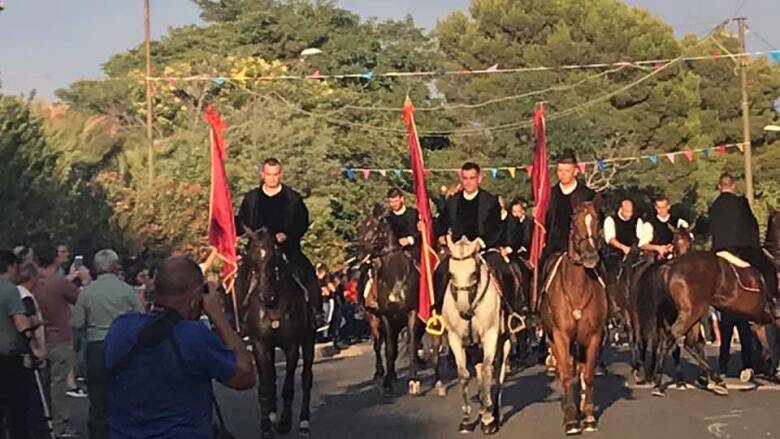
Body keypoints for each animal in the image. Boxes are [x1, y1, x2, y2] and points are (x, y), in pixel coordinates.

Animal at [236, 229, 316, 438]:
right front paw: (266, 423)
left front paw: (284, 423)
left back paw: (304, 422)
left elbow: (288, 386)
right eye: (252, 258)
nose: (265, 297)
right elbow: (266, 384)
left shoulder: (292, 347)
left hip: (308, 340)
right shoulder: (260, 346)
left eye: (275, 256)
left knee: (306, 378)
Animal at [354, 205, 444, 398]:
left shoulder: (413, 314)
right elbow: (389, 350)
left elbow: (410, 345)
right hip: (377, 320)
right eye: (360, 227)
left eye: (375, 228)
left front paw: (414, 380)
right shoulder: (386, 317)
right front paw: (387, 382)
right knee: (382, 345)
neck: (395, 277)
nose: (358, 253)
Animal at [442, 235, 508, 434]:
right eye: (451, 274)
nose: (463, 311)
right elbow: (463, 374)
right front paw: (467, 418)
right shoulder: (455, 339)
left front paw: (488, 419)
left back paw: (492, 412)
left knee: (498, 374)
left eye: (473, 273)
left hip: (504, 342)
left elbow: (488, 371)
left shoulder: (491, 336)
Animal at [540, 203, 612, 436]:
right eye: (574, 223)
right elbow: (566, 375)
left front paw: (588, 415)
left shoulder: (594, 336)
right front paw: (571, 419)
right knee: (565, 369)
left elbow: (587, 375)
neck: (578, 286)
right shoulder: (561, 336)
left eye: (597, 222)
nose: (590, 256)